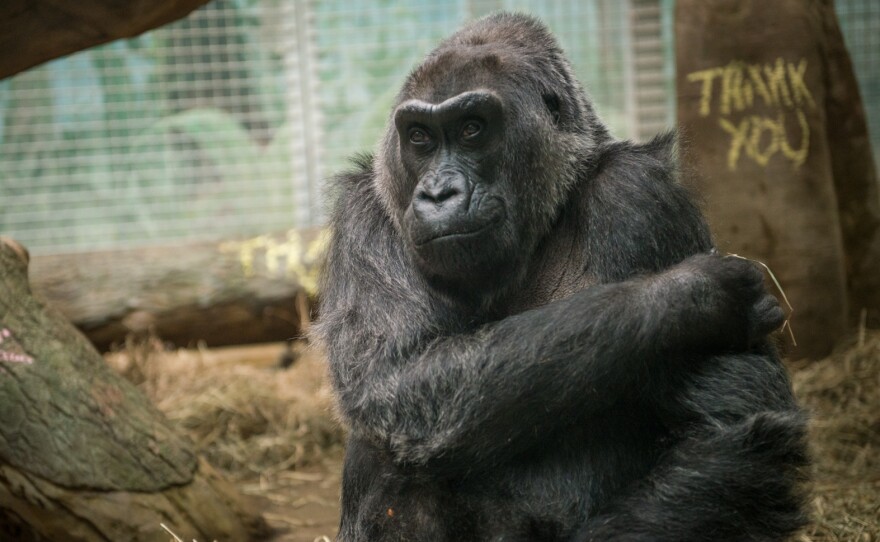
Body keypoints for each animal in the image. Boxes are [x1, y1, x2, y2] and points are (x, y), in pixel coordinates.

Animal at [314, 12, 804, 542]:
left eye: (472, 129)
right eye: (420, 137)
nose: (439, 193)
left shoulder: (639, 194)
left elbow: (732, 428)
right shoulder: (366, 216)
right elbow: (393, 382)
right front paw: (689, 296)